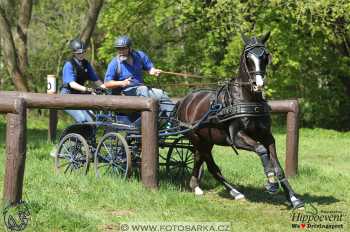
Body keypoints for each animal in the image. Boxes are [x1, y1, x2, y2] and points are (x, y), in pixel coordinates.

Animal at [176, 32, 304, 208]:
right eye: (248, 57)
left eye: (265, 55)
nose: (258, 84)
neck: (247, 99)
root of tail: (185, 101)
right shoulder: (237, 138)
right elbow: (261, 150)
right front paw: (271, 182)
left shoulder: (267, 136)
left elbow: (278, 166)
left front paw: (293, 198)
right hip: (196, 138)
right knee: (210, 164)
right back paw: (229, 191)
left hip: (206, 140)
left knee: (199, 159)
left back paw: (201, 187)